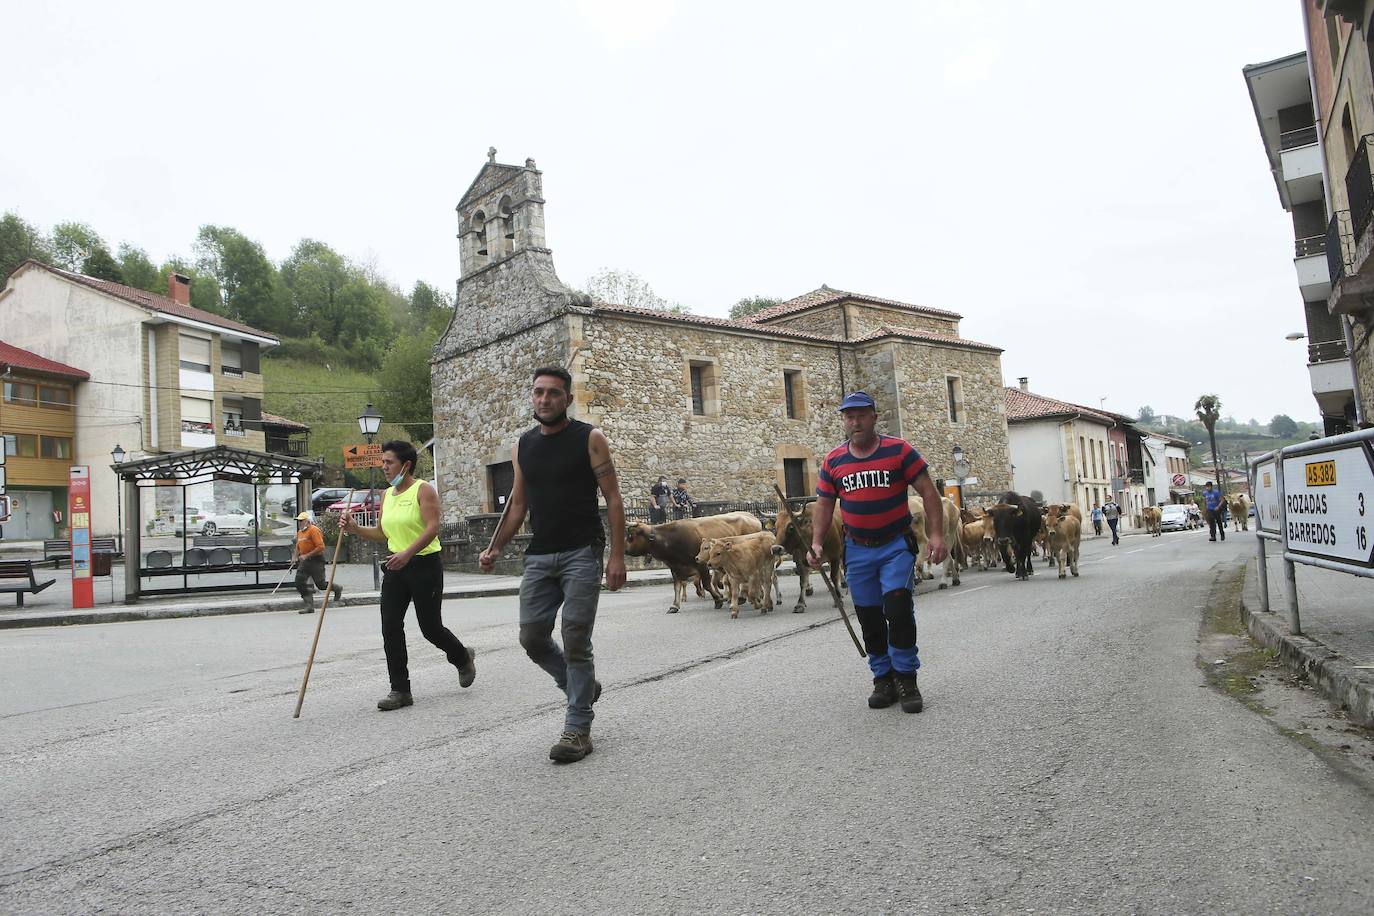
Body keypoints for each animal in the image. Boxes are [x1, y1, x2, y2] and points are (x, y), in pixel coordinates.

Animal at [626, 513, 763, 612]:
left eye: (631, 536)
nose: (625, 550)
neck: (671, 540)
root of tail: (751, 516)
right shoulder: (675, 568)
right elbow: (677, 587)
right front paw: (675, 606)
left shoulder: (701, 565)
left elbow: (707, 584)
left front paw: (718, 600)